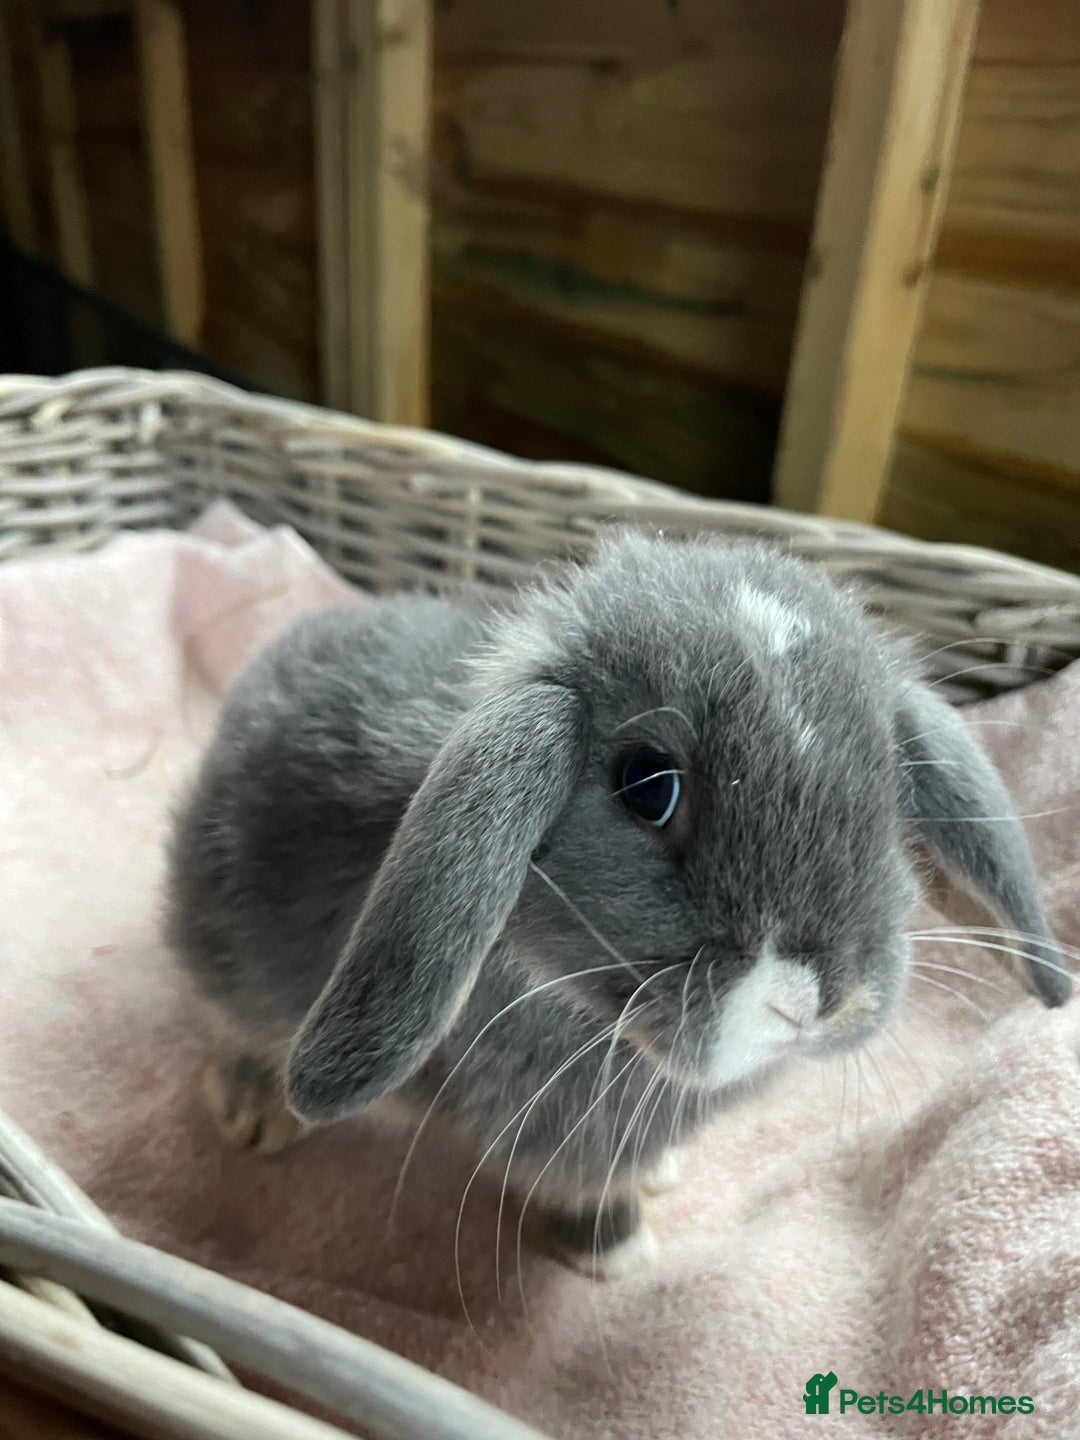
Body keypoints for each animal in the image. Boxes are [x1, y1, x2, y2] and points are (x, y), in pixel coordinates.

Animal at [165, 531, 1070, 1277]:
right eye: (647, 785)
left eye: (888, 784)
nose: (818, 1000)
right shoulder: (561, 1140)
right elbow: (585, 1194)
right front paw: (623, 1256)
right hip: (224, 954)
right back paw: (255, 1113)